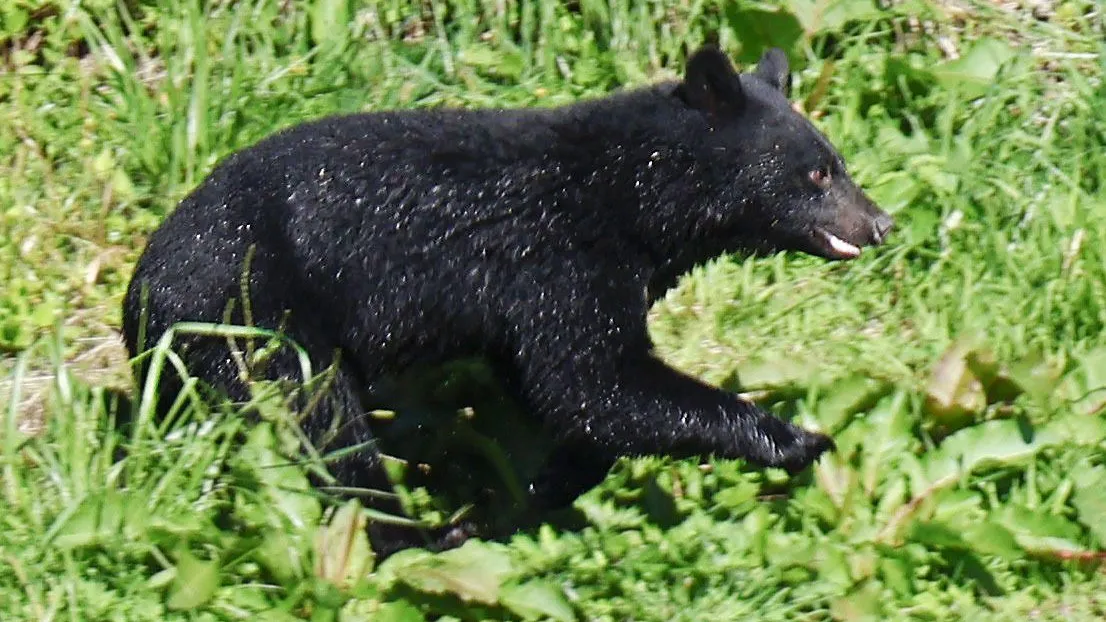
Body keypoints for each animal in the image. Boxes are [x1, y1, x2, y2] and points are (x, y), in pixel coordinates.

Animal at [121, 45, 893, 556]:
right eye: (818, 173)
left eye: (837, 162)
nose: (881, 223)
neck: (631, 196)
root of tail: (139, 297)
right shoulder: (558, 260)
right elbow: (592, 382)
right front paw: (797, 438)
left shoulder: (521, 308)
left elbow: (557, 397)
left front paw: (529, 496)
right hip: (251, 316)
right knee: (324, 422)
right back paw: (416, 536)